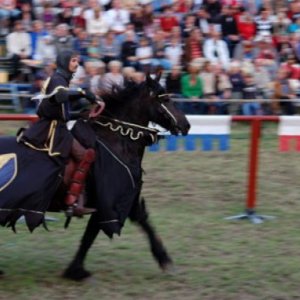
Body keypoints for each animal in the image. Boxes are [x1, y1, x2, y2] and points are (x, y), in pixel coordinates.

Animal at [0, 74, 190, 278]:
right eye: (164, 99)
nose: (186, 125)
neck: (118, 141)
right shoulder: (107, 204)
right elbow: (89, 237)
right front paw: (75, 270)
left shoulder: (125, 201)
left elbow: (143, 222)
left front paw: (163, 258)